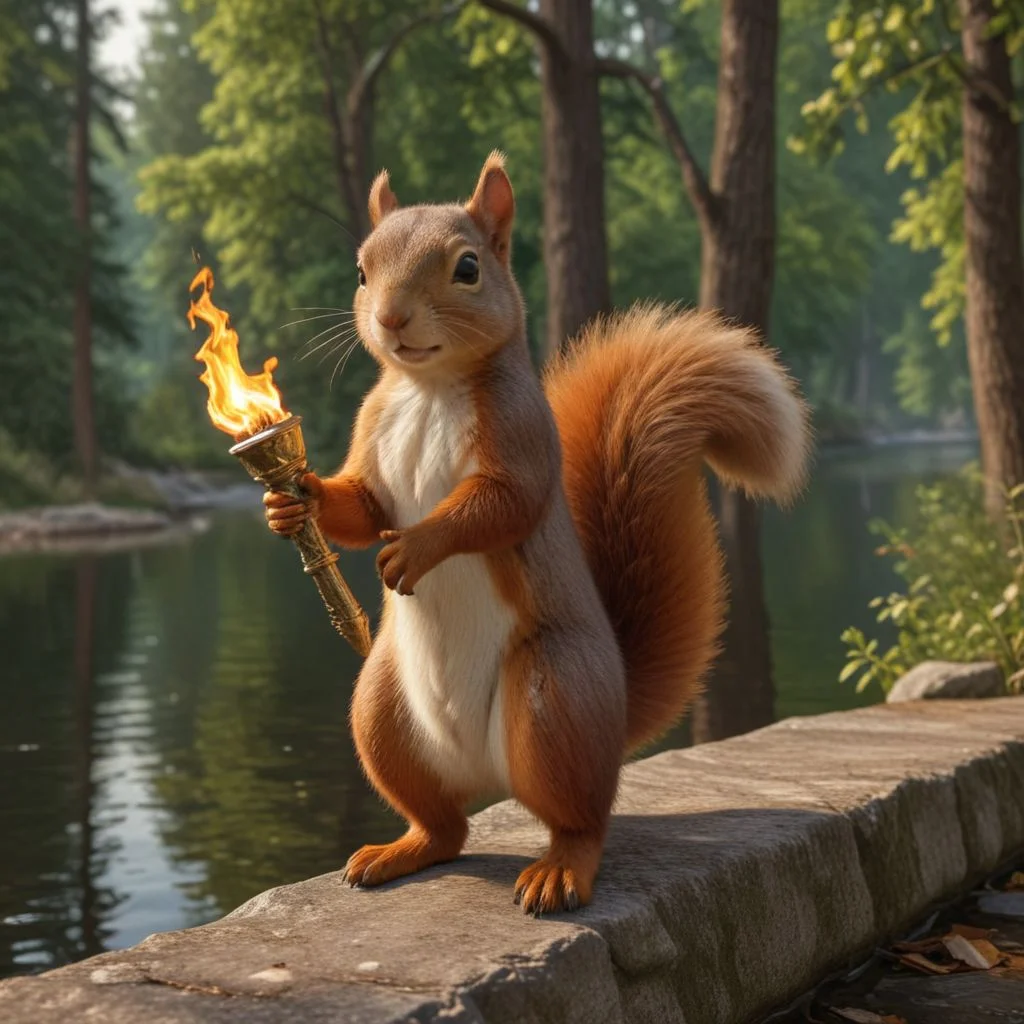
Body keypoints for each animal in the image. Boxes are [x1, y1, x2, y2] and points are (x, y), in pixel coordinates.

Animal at [263, 152, 811, 916]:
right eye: (362, 271)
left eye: (467, 268)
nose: (391, 318)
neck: (428, 389)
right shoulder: (372, 436)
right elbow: (362, 507)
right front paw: (296, 500)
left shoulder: (521, 438)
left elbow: (501, 507)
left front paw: (417, 547)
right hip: (380, 714)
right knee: (446, 826)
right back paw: (399, 851)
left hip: (553, 699)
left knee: (583, 819)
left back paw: (560, 871)